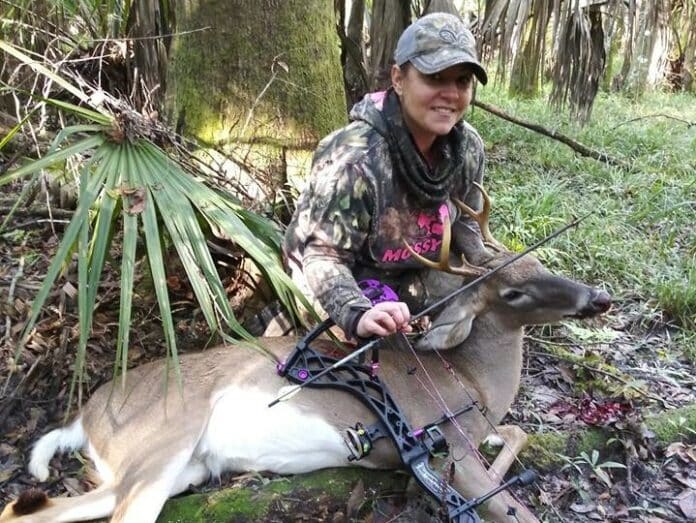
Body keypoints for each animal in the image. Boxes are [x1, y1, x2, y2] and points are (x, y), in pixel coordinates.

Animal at [0, 185, 608, 523]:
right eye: (513, 292)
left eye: (541, 264)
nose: (597, 297)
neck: (475, 385)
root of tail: (84, 415)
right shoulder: (448, 451)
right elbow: (521, 511)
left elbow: (519, 434)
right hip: (164, 439)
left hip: (177, 468)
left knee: (28, 509)